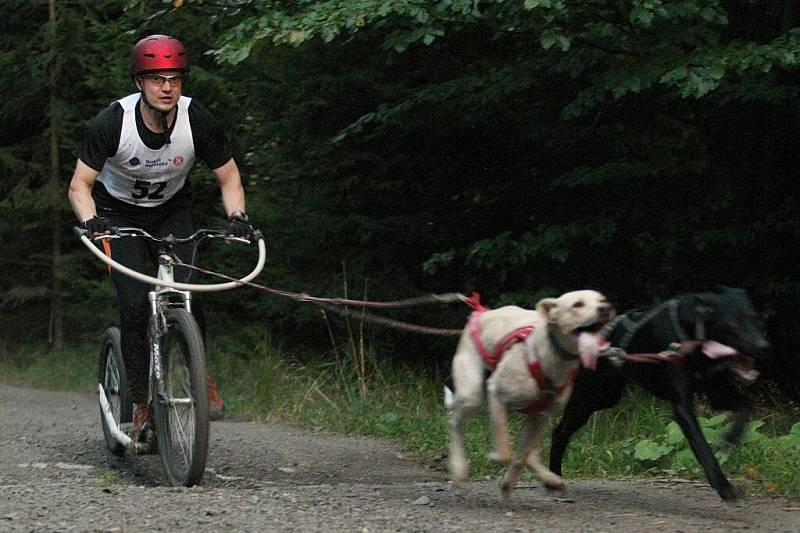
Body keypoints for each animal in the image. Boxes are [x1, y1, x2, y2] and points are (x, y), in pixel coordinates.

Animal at [444, 288, 612, 496]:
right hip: (472, 395)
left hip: (532, 417)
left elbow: (521, 456)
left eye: (602, 299)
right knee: (455, 423)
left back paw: (550, 478)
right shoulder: (496, 392)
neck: (549, 354)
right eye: (578, 304)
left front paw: (509, 483)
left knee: (529, 454)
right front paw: (497, 458)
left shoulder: (541, 416)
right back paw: (459, 467)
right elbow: (506, 451)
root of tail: (481, 312)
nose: (606, 308)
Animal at [552, 286, 768, 498]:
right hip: (588, 398)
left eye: (755, 318)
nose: (763, 346)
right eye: (734, 322)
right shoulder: (683, 407)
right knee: (560, 431)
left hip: (607, 396)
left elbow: (746, 407)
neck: (692, 331)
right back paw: (554, 477)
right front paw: (723, 487)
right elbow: (703, 448)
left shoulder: (715, 394)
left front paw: (731, 437)